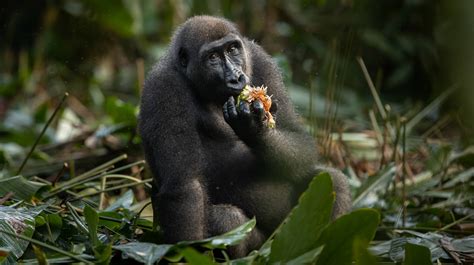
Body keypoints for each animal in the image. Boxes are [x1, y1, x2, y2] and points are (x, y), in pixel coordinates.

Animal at [138, 16, 352, 256]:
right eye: (212, 57)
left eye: (232, 49)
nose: (236, 77)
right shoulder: (163, 87)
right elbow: (184, 185)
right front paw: (188, 252)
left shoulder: (260, 58)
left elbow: (298, 139)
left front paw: (255, 130)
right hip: (268, 243)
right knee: (227, 221)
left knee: (333, 180)